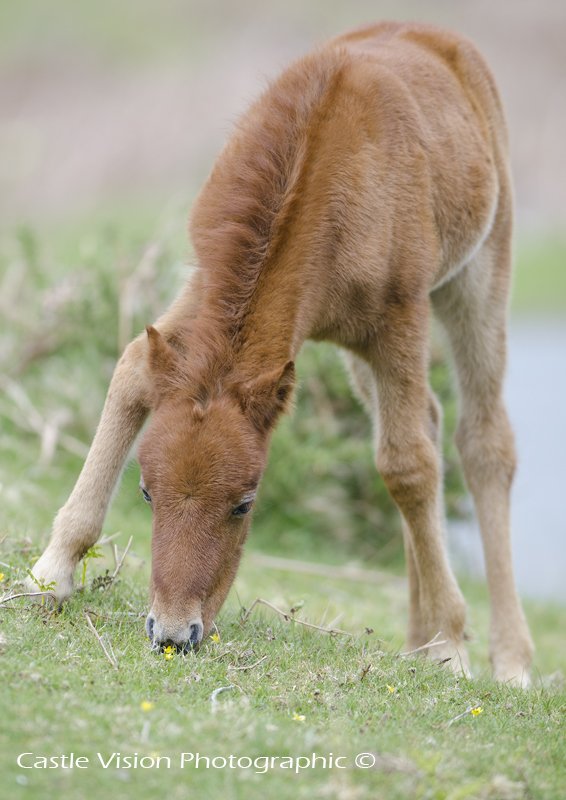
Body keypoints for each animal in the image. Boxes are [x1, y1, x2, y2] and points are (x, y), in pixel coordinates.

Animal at [27, 21, 534, 686]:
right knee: (426, 417)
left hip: (478, 272)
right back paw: (415, 641)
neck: (321, 167)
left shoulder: (400, 316)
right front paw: (51, 573)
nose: (173, 634)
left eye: (245, 505)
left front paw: (452, 647)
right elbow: (133, 365)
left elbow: (407, 465)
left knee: (481, 441)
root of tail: (431, 35)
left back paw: (508, 659)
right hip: (360, 351)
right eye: (146, 494)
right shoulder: (206, 280)